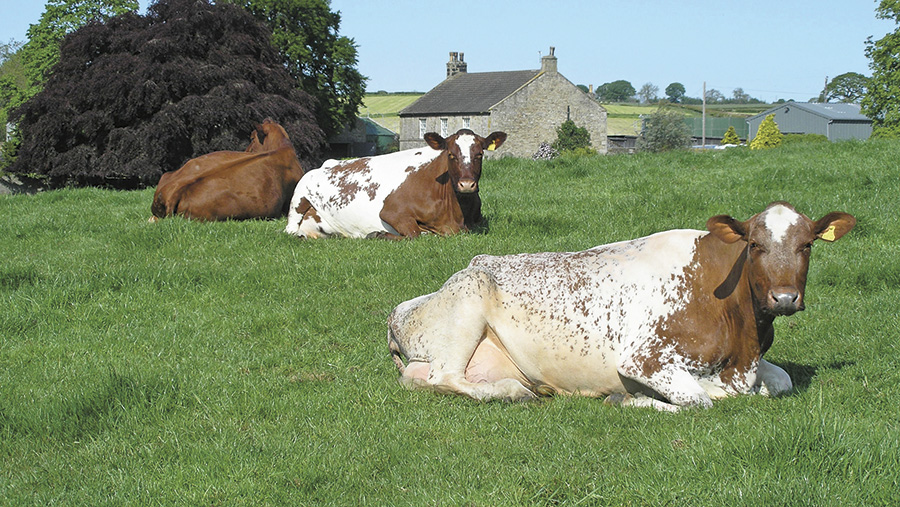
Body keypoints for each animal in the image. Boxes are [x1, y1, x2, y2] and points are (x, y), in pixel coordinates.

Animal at [284, 129, 506, 240]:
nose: (467, 184)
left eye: (480, 154)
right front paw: (378, 234)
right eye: (451, 154)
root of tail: (328, 163)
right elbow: (416, 234)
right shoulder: (392, 212)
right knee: (291, 229)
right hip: (299, 197)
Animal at [384, 202, 852, 412]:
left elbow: (783, 381)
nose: (785, 298)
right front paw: (632, 400)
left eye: (807, 245)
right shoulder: (642, 359)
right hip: (469, 299)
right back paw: (515, 390)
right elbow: (700, 399)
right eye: (755, 245)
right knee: (444, 377)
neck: (744, 345)